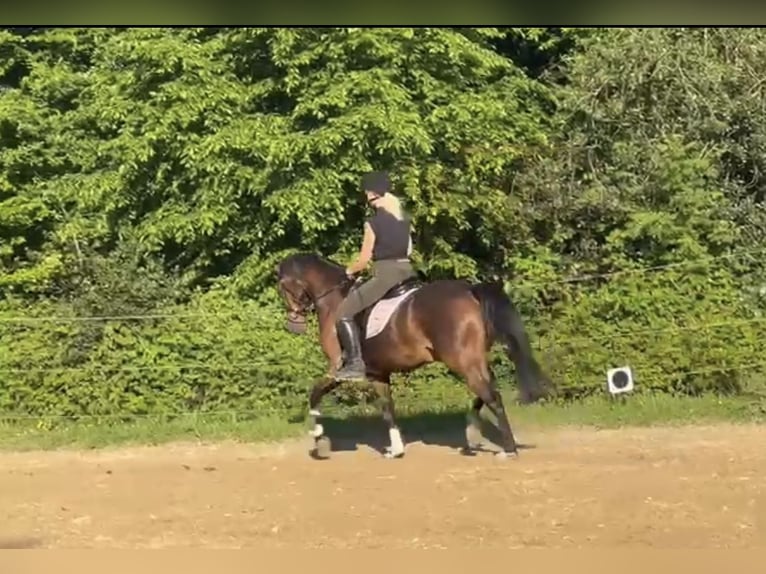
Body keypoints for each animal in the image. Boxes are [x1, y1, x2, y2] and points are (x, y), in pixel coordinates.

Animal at [276, 254, 552, 462]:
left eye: (283, 288)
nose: (293, 325)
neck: (334, 299)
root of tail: (470, 291)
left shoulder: (338, 369)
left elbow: (315, 394)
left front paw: (318, 437)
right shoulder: (378, 373)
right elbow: (388, 409)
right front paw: (396, 449)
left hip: (461, 361)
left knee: (491, 395)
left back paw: (508, 450)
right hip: (472, 359)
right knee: (488, 390)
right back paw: (472, 432)